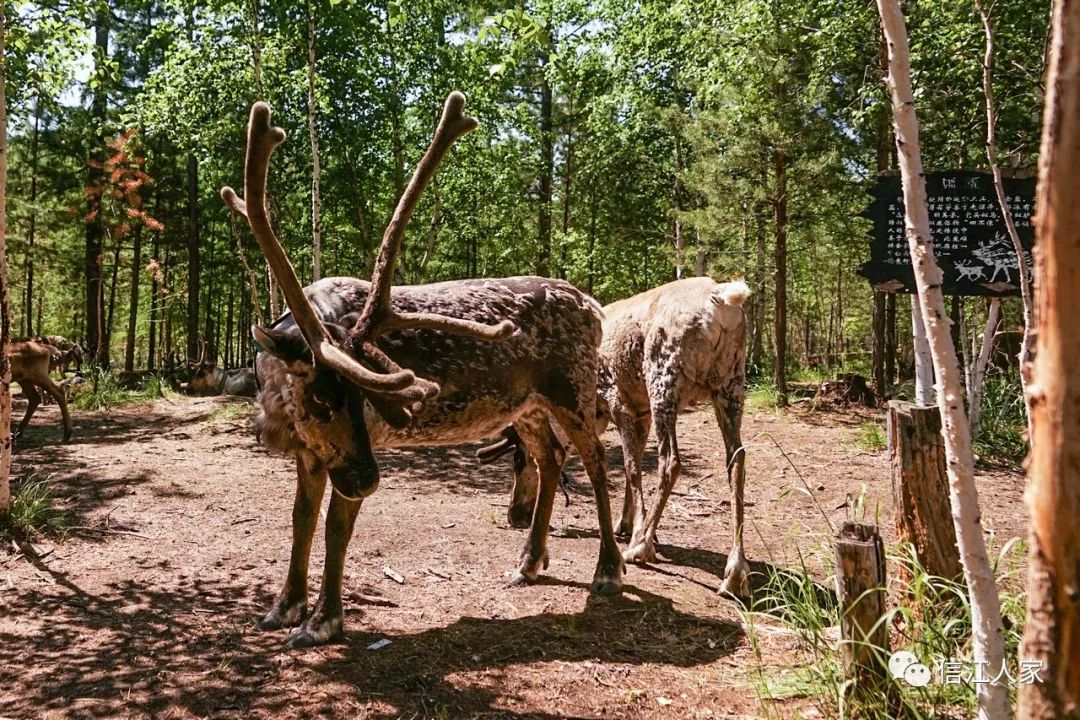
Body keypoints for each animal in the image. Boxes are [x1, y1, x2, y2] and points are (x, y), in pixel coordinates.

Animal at [223, 93, 624, 648]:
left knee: (596, 463)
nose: (370, 479)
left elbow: (335, 528)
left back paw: (607, 570)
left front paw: (322, 622)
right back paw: (528, 562)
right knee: (549, 459)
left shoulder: (359, 444)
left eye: (366, 396)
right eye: (322, 397)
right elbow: (300, 519)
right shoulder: (314, 450)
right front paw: (283, 608)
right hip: (525, 406)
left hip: (574, 389)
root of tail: (594, 307)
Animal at [481, 278, 751, 597]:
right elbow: (629, 468)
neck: (598, 412)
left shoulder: (617, 399)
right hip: (731, 383)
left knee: (670, 461)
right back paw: (736, 571)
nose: (514, 514)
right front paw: (627, 523)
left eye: (520, 461)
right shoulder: (640, 412)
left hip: (664, 379)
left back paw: (640, 547)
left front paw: (639, 534)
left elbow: (631, 468)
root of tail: (723, 299)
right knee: (737, 459)